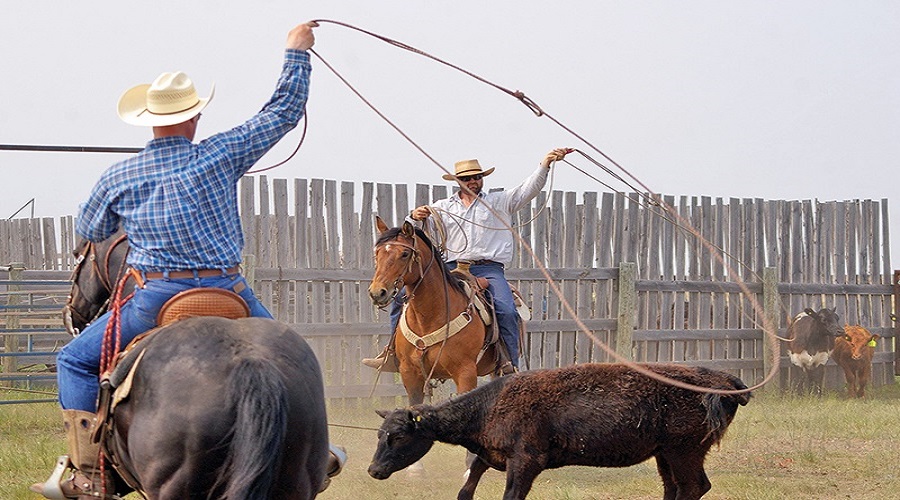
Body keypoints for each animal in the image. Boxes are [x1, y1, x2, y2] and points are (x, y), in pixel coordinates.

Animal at [368, 217, 506, 404]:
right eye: (377, 254)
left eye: (405, 254)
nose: (377, 292)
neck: (428, 318)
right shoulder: (409, 374)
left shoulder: (466, 373)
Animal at [368, 364, 752, 500]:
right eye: (379, 433)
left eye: (398, 436)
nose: (373, 470)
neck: (489, 408)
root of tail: (723, 381)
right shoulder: (489, 455)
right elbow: (466, 488)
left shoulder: (526, 460)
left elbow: (511, 495)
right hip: (665, 454)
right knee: (674, 488)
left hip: (685, 450)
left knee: (694, 487)